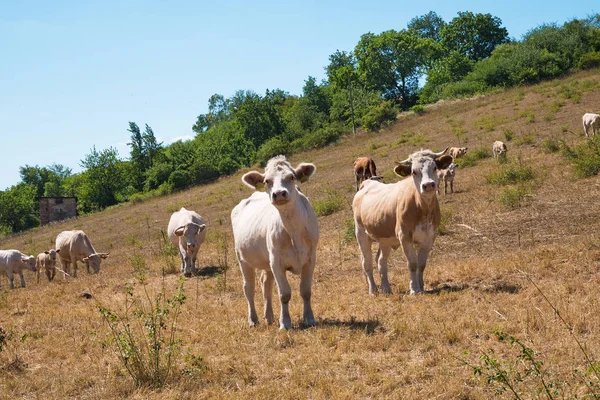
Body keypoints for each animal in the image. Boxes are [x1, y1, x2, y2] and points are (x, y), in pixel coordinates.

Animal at [232, 155, 322, 330]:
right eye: (267, 181)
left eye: (291, 177)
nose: (279, 193)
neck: (294, 231)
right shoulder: (277, 262)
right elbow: (284, 294)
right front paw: (285, 322)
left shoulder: (310, 258)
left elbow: (306, 291)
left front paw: (309, 318)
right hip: (243, 259)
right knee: (249, 288)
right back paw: (253, 319)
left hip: (267, 261)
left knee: (266, 284)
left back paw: (269, 317)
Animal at [352, 148, 450, 296]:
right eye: (414, 171)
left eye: (434, 167)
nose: (428, 185)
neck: (423, 208)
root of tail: (367, 183)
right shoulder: (404, 236)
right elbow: (412, 263)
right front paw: (414, 289)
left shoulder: (430, 236)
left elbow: (421, 264)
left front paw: (421, 286)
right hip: (361, 234)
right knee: (367, 263)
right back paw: (373, 290)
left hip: (384, 239)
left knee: (381, 261)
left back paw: (386, 288)